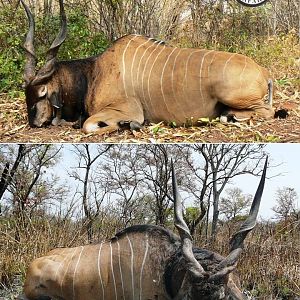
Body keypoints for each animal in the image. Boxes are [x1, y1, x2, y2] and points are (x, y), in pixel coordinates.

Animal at [20, 0, 274, 134]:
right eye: (26, 93)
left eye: (41, 93)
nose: (34, 123)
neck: (93, 73)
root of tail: (264, 72)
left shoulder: (127, 109)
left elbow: (88, 125)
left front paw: (128, 125)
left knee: (266, 112)